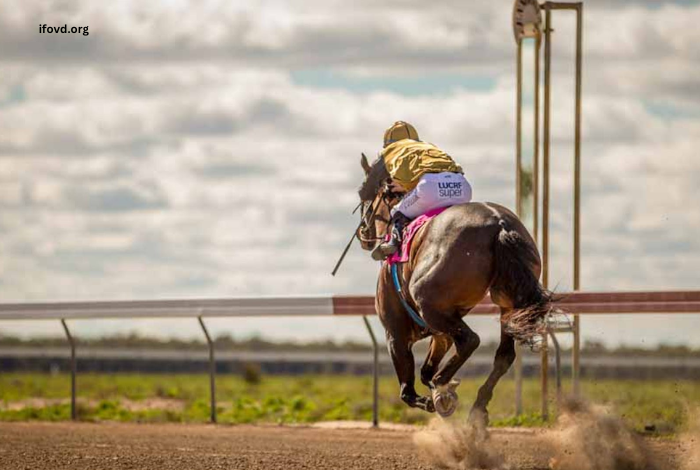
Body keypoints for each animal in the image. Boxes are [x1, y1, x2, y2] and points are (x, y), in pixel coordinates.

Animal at [358, 154, 556, 422]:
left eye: (362, 192)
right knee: (503, 356)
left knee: (470, 340)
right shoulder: (441, 335)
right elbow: (425, 371)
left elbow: (408, 391)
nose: (363, 233)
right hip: (507, 303)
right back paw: (477, 407)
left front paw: (437, 396)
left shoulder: (396, 334)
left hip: (428, 304)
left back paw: (443, 386)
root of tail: (499, 224)